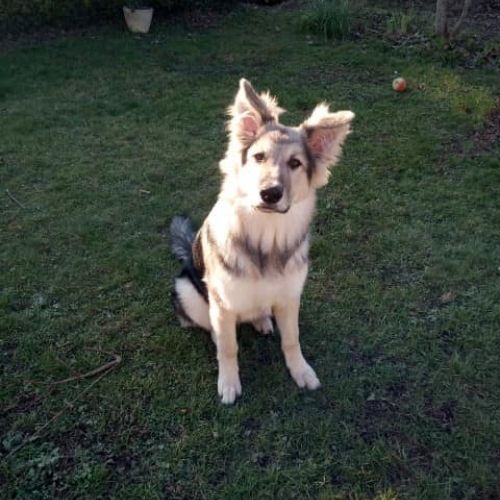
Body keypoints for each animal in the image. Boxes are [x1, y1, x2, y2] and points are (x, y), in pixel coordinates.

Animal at [170, 79, 354, 404]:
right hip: (187, 292)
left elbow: (292, 339)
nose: (270, 193)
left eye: (295, 163)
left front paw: (300, 370)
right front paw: (229, 382)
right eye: (259, 157)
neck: (266, 241)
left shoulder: (290, 297)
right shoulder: (222, 303)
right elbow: (228, 347)